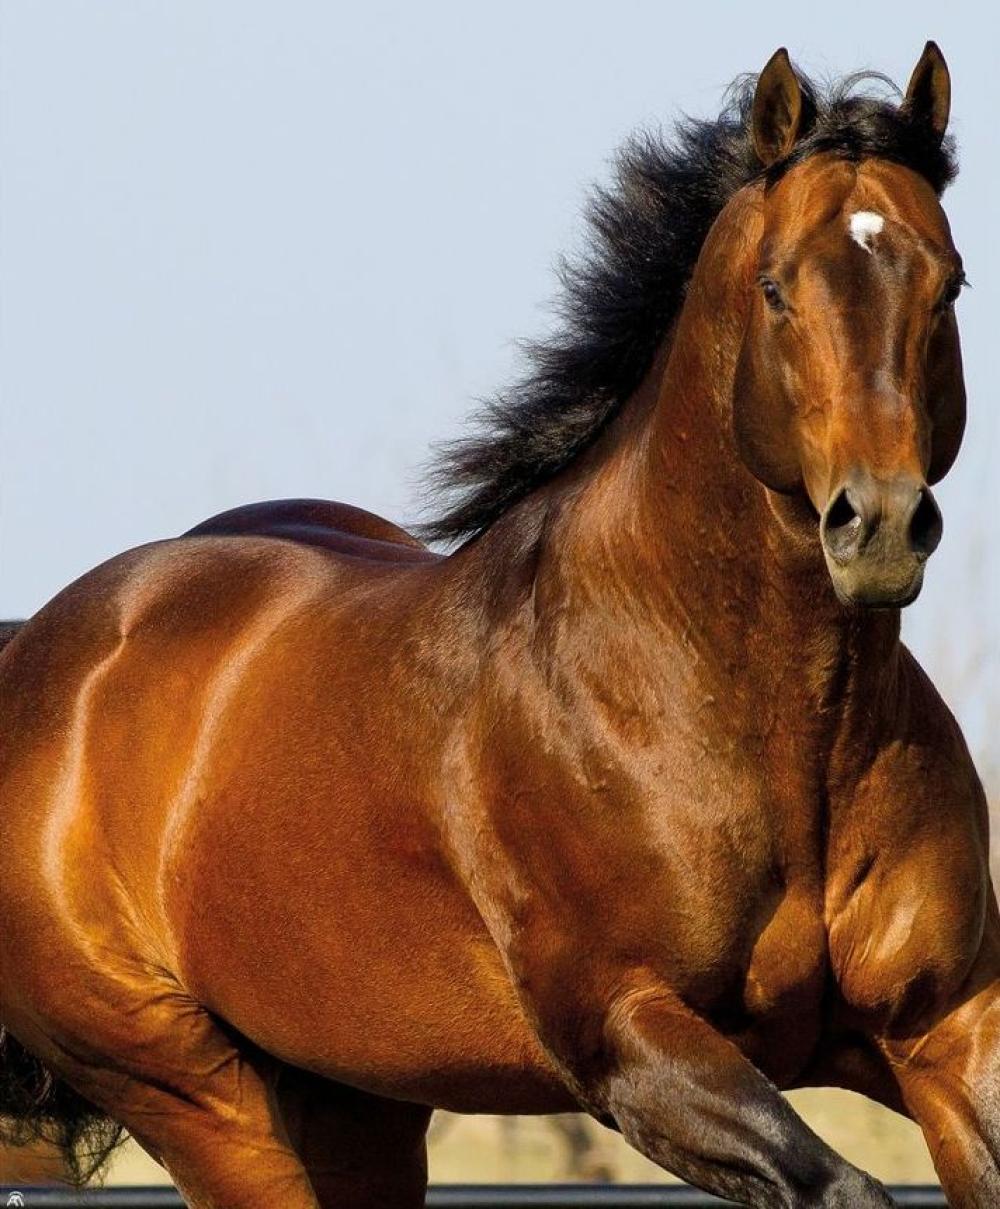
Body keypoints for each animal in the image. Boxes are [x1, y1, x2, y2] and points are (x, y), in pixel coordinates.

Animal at [0, 41, 989, 1208]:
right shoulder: (630, 1040)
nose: (877, 525)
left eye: (949, 281)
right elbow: (842, 1184)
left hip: (359, 1105)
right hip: (199, 1095)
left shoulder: (944, 1026)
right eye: (776, 287)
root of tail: (44, 649)